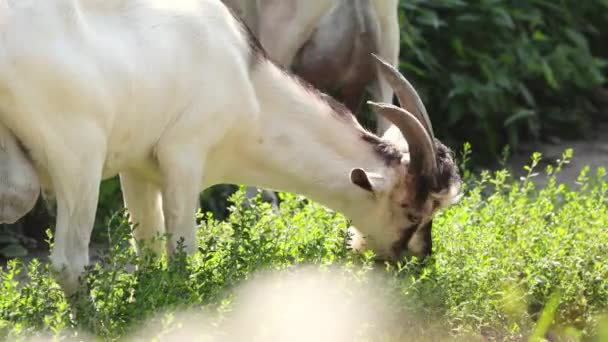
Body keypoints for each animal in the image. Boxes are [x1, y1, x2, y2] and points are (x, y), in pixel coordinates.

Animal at [0, 0, 458, 294]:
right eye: (412, 211)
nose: (417, 259)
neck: (249, 84)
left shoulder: (137, 168)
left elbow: (147, 249)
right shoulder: (184, 157)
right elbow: (182, 253)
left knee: (18, 195)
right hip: (79, 156)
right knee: (69, 265)